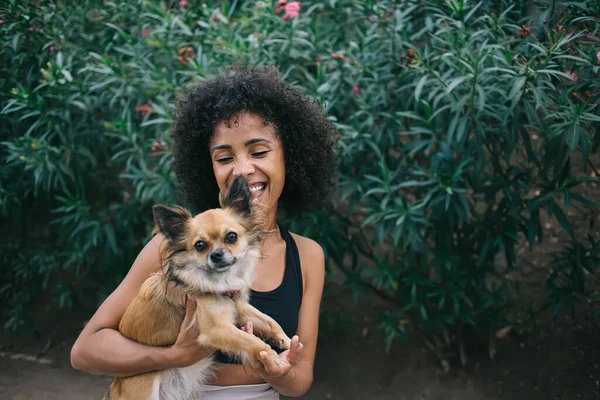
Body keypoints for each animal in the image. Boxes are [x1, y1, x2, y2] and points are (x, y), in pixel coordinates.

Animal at [108, 177, 296, 398]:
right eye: (200, 245)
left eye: (231, 237)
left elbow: (270, 321)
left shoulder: (239, 308)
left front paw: (285, 340)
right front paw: (273, 358)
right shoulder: (217, 329)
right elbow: (254, 342)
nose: (216, 255)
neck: (221, 281)